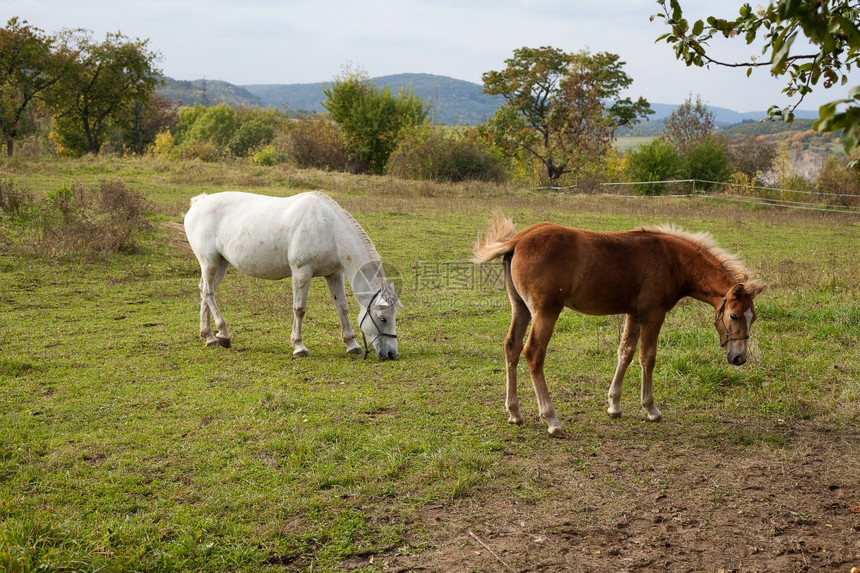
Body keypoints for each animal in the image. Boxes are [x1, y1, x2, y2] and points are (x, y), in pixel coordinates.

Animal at [183, 190, 402, 360]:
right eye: (383, 319)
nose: (391, 354)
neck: (327, 227)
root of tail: (200, 202)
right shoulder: (301, 272)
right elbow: (299, 309)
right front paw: (299, 347)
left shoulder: (334, 274)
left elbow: (342, 308)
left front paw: (352, 345)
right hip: (210, 262)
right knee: (208, 292)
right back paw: (223, 334)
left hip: (220, 264)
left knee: (205, 291)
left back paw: (209, 337)